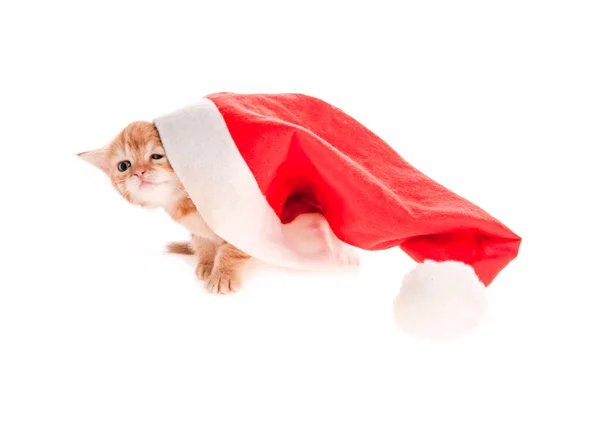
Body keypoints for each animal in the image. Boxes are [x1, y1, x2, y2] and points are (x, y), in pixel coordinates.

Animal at [77, 120, 251, 296]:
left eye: (156, 156)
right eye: (123, 166)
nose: (139, 172)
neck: (183, 202)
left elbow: (234, 248)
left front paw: (223, 275)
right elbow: (204, 242)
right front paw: (207, 264)